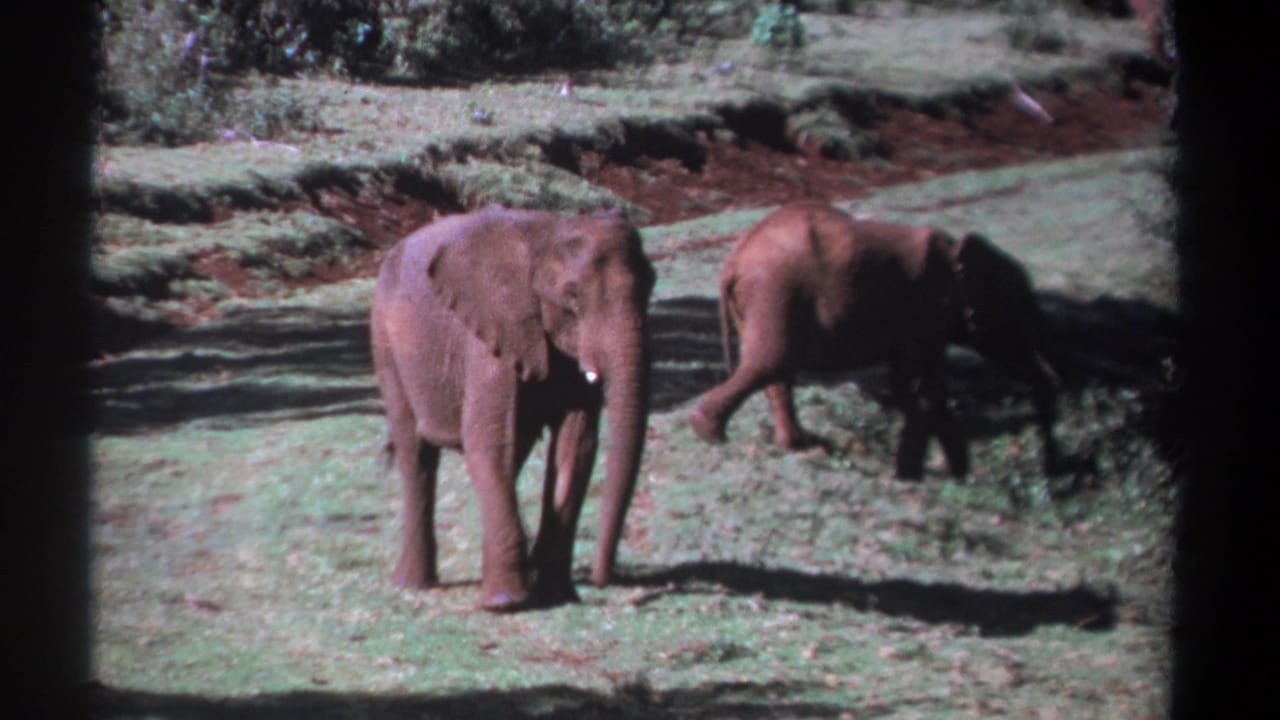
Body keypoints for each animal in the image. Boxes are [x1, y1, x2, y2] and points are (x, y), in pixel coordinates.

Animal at [370, 205, 655, 612]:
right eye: (571, 297)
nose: (603, 582)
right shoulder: (488, 333)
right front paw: (506, 603)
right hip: (385, 342)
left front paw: (555, 594)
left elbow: (576, 446)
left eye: (651, 285)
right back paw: (413, 585)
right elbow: (488, 441)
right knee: (417, 454)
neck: (550, 232)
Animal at [687, 201, 1061, 479]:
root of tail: (733, 263)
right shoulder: (927, 311)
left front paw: (949, 472)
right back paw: (710, 433)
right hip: (775, 292)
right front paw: (922, 475)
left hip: (765, 300)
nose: (1053, 469)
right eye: (1015, 309)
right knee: (769, 363)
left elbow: (916, 385)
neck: (957, 253)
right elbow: (919, 386)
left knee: (775, 370)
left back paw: (793, 445)